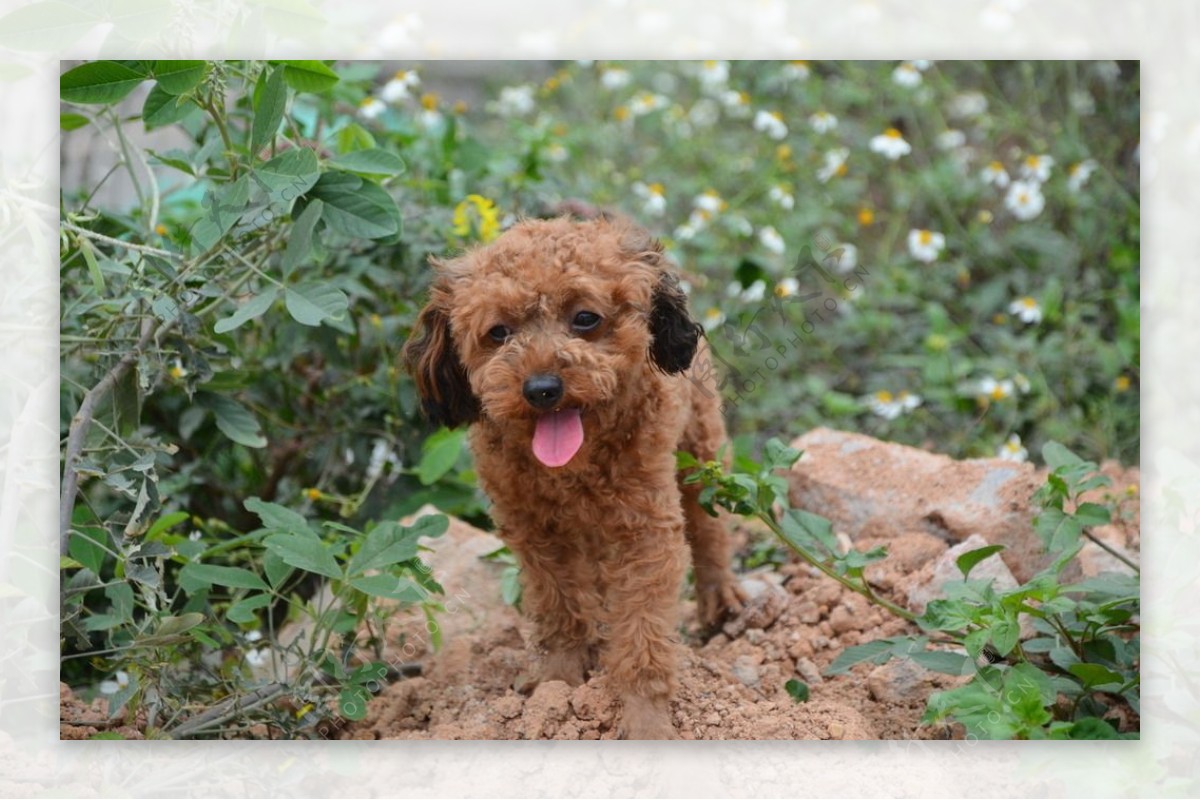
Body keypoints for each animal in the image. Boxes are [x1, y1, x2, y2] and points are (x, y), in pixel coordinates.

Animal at [403, 214, 739, 738]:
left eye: (585, 319)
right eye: (498, 332)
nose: (542, 389)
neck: (573, 469)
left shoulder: (646, 532)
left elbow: (642, 638)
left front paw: (646, 723)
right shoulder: (536, 534)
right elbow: (560, 611)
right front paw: (556, 686)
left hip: (700, 452)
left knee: (710, 528)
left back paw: (719, 598)